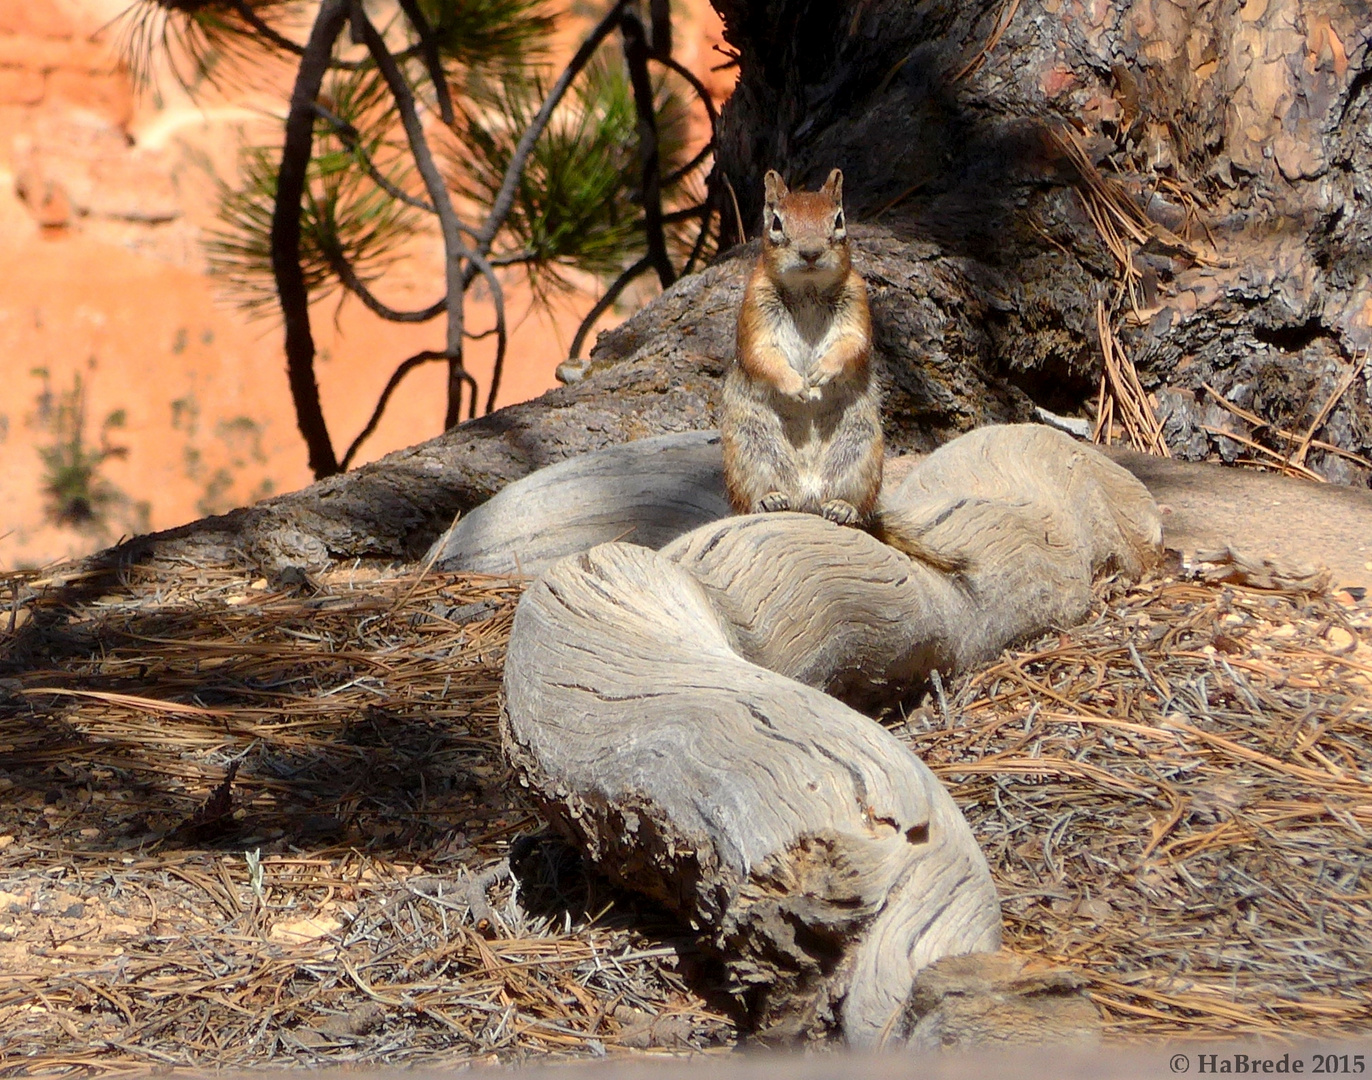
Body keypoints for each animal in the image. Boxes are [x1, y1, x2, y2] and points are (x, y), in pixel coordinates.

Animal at [724, 168, 960, 573]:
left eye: (839, 220)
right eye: (776, 223)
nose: (810, 252)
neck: (807, 289)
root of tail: (806, 496)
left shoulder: (858, 303)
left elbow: (852, 344)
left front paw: (821, 373)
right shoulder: (754, 311)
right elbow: (762, 355)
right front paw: (797, 385)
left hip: (860, 452)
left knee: (856, 505)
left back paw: (842, 508)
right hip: (749, 449)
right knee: (750, 496)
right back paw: (768, 500)